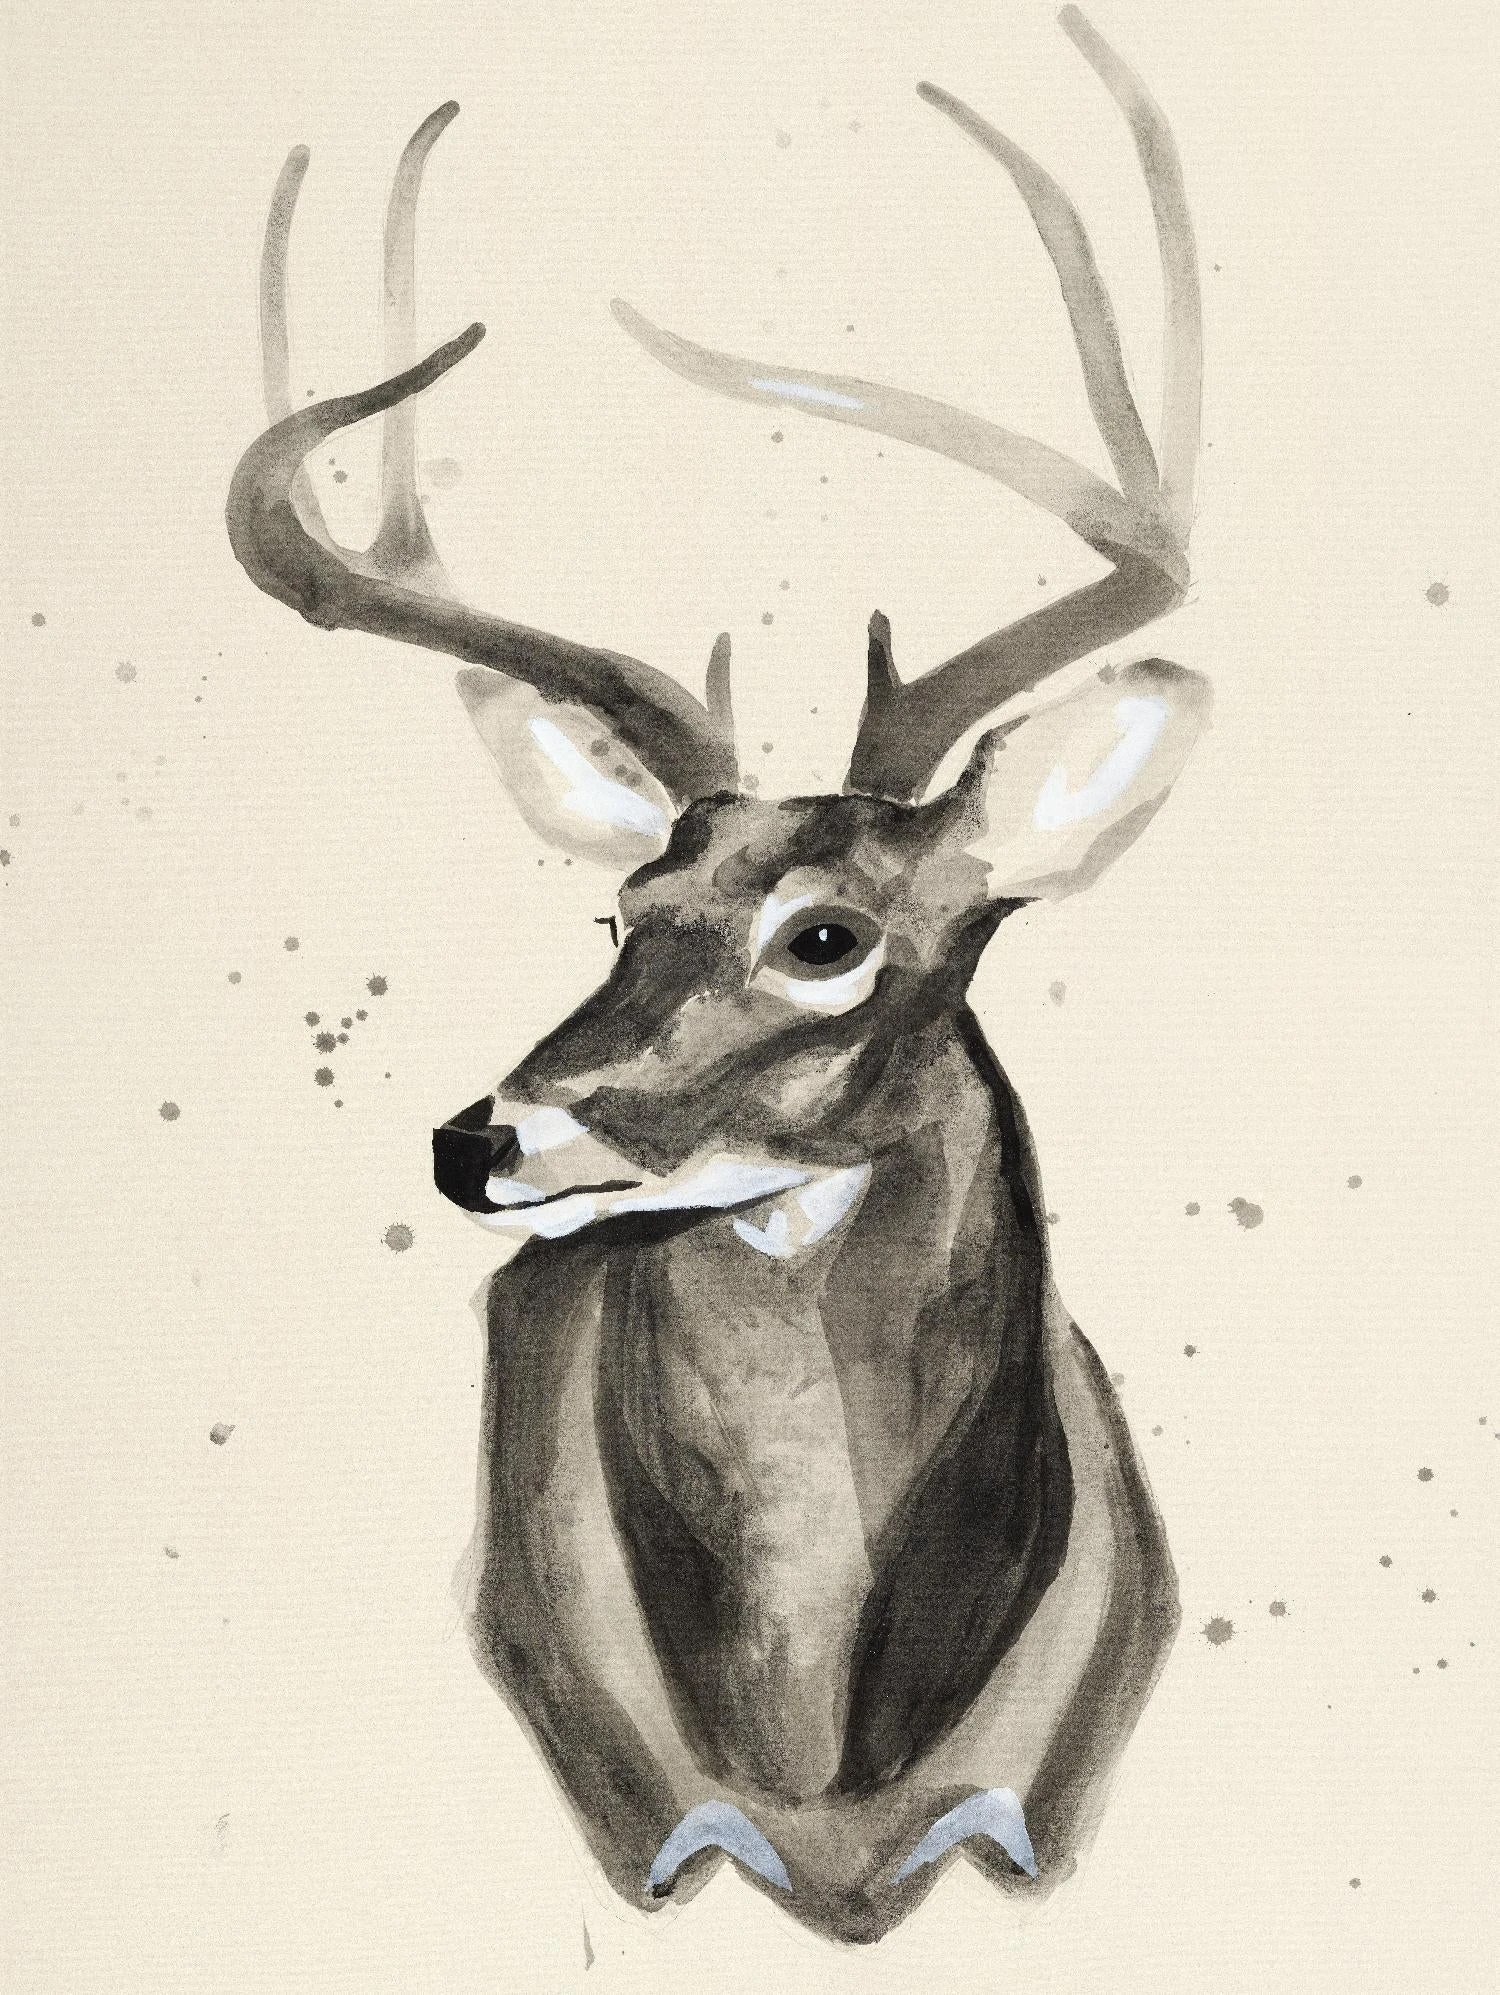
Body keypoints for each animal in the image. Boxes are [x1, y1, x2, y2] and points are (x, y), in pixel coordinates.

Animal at [227, 6, 1206, 1947]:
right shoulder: (646, 1818)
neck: (823, 1767)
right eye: (620, 910)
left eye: (826, 935)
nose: (476, 1140)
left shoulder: (1039, 1807)